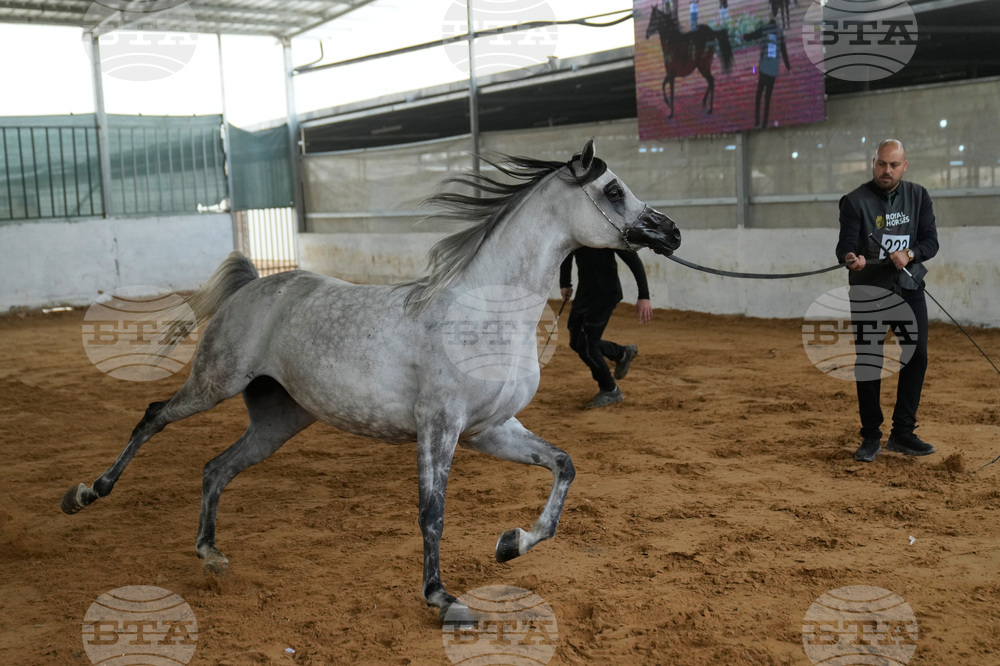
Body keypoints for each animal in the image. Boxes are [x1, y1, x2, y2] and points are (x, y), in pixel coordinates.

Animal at [61, 139, 682, 626]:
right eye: (614, 191)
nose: (670, 232)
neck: (486, 313)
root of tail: (255, 286)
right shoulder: (440, 426)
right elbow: (432, 512)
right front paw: (442, 598)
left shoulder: (489, 429)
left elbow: (563, 466)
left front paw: (511, 544)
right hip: (215, 381)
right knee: (153, 416)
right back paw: (87, 492)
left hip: (278, 420)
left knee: (216, 467)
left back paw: (210, 554)